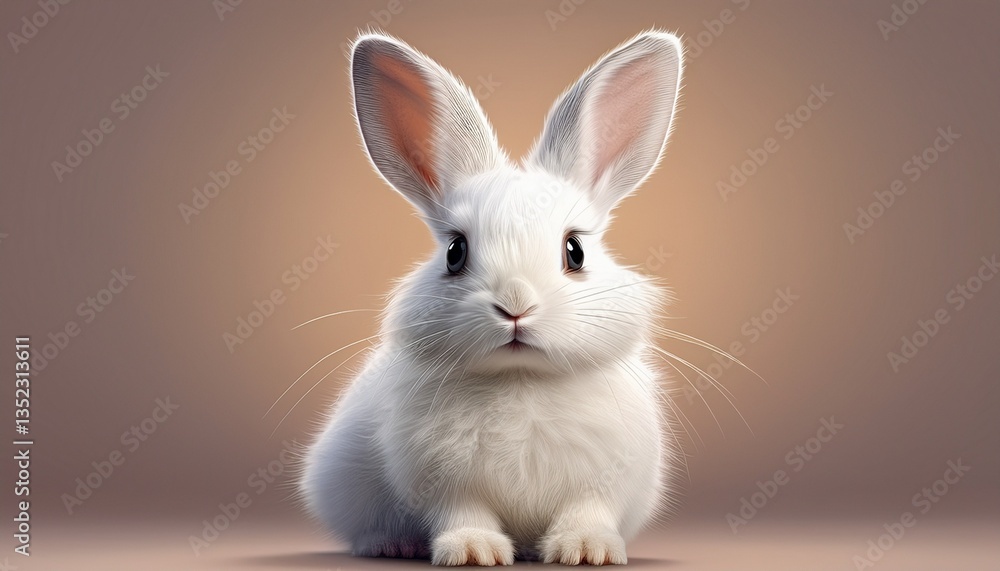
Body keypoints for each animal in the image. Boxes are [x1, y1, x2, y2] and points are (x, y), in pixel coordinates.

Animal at [300, 28, 684, 566]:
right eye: (455, 252)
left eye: (575, 250)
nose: (515, 305)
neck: (519, 379)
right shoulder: (444, 482)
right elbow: (463, 513)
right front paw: (473, 550)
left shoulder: (603, 478)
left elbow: (587, 510)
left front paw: (587, 550)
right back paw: (391, 544)